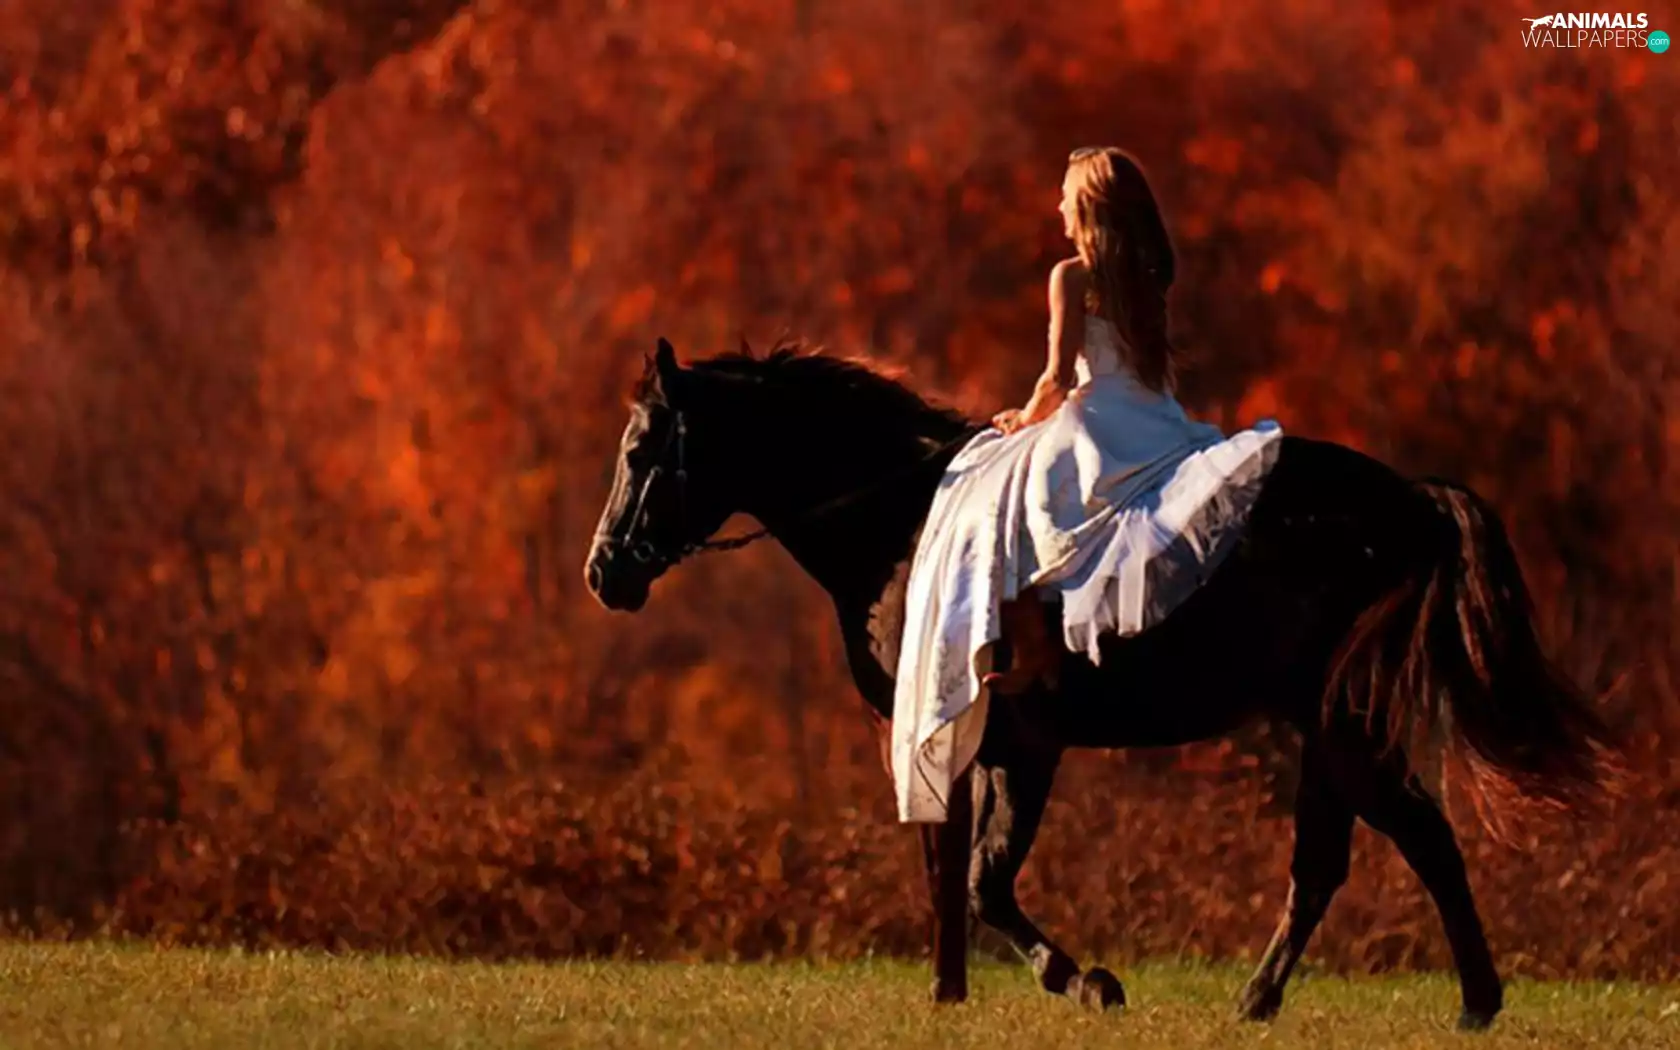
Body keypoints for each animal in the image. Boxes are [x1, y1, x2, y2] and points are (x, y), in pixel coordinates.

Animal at [583, 337, 1609, 1029]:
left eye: (641, 451)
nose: (605, 573)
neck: (904, 529)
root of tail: (1408, 499)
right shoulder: (956, 744)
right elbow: (952, 872)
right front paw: (951, 997)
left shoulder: (1024, 746)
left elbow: (985, 884)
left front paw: (1088, 982)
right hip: (1327, 728)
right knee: (1339, 862)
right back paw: (1277, 1001)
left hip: (1341, 727)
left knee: (1409, 841)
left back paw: (1458, 1002)